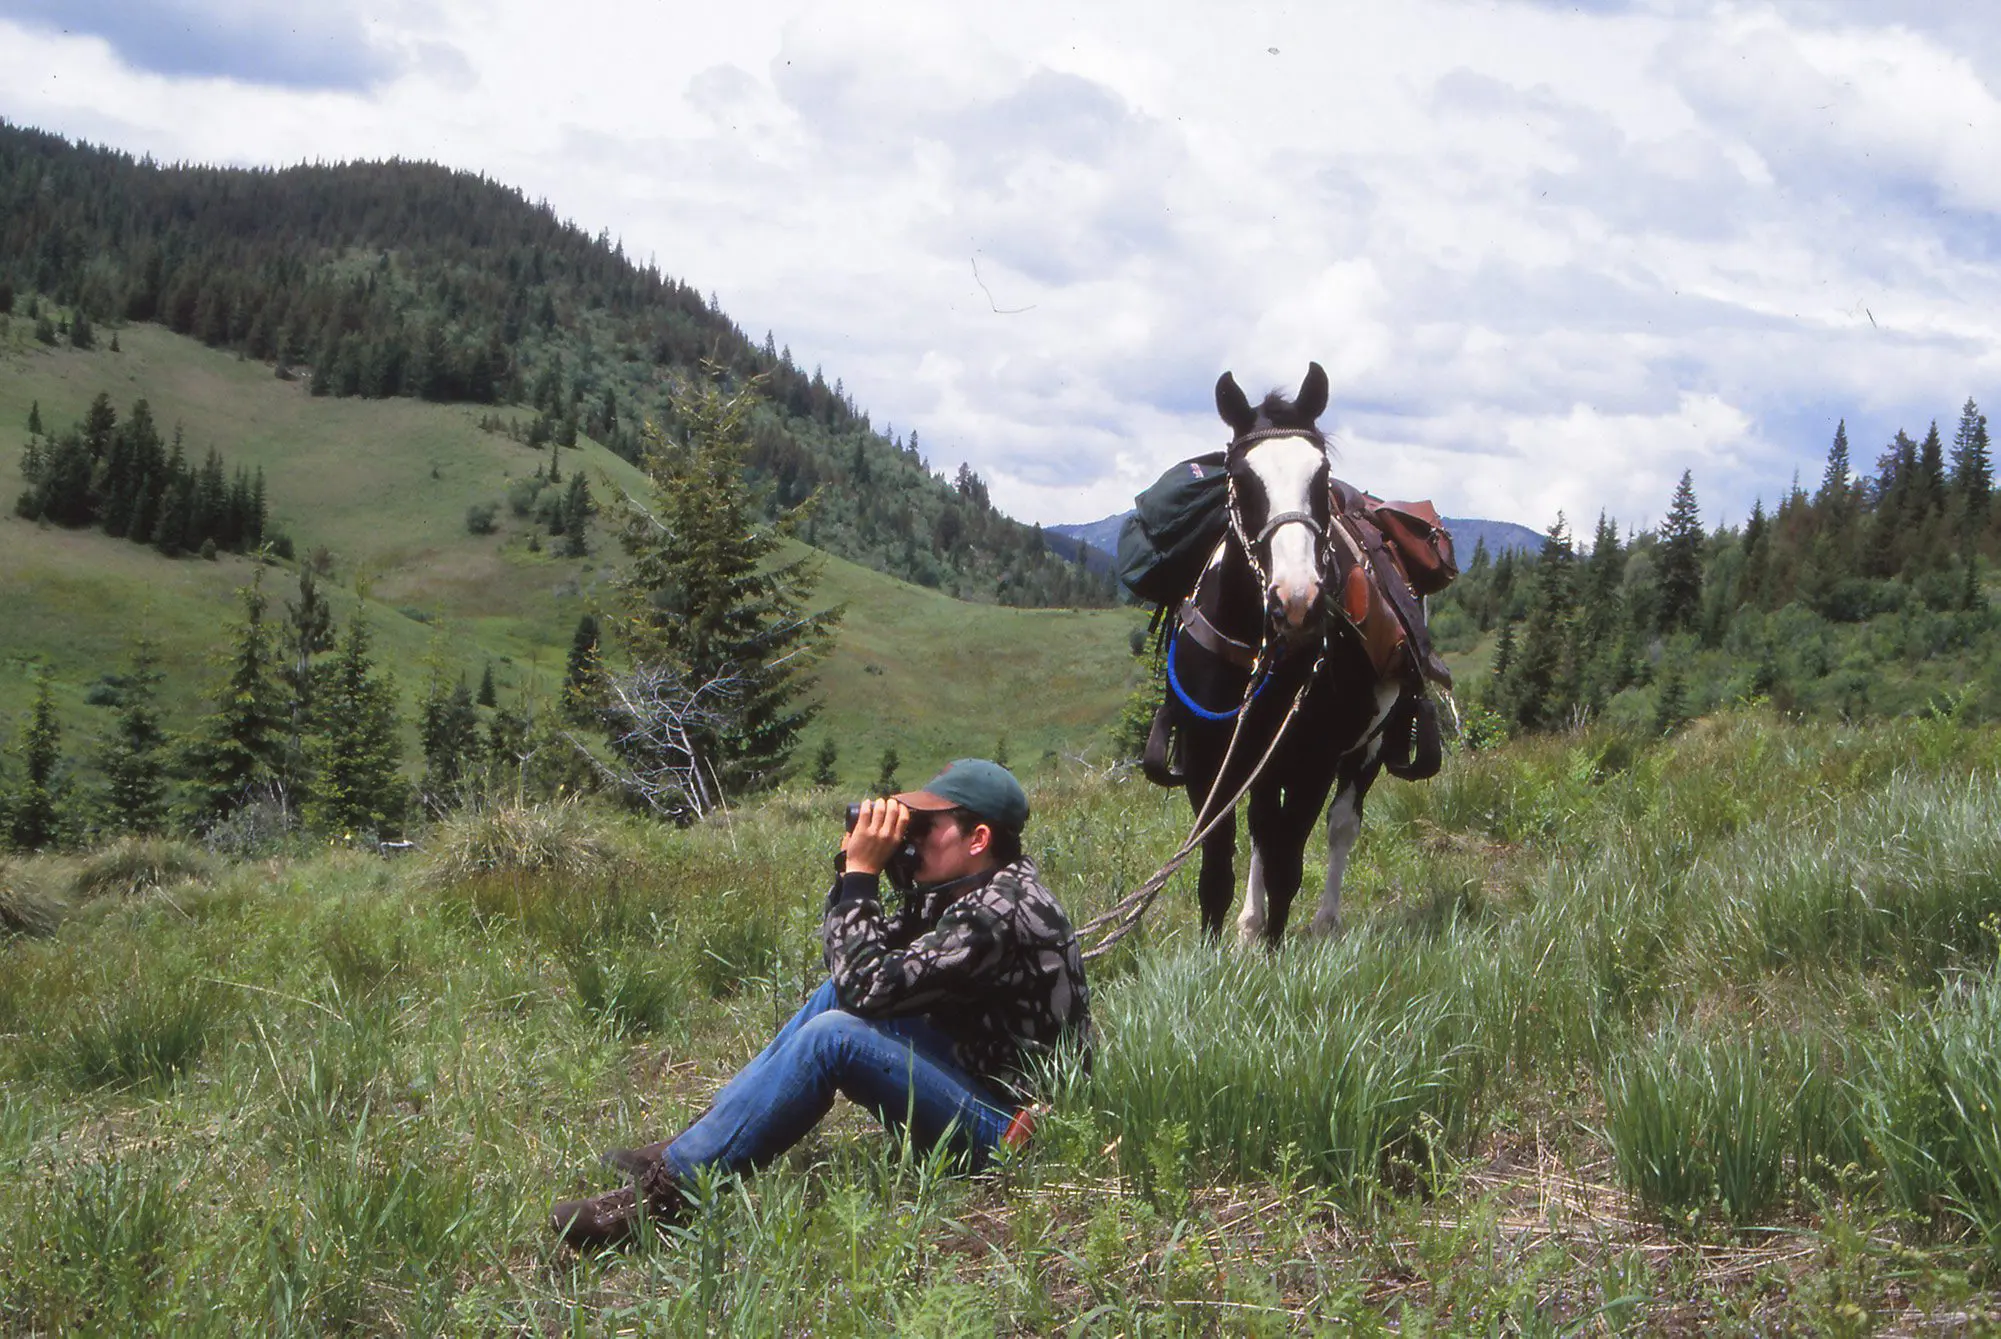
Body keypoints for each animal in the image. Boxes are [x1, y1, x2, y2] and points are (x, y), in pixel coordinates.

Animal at [1160, 360, 1408, 944]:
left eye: (1321, 476)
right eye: (1241, 478)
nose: (1297, 601)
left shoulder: (1313, 760)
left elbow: (1287, 864)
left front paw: (1275, 951)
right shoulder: (1208, 757)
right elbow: (1217, 865)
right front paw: (1213, 948)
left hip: (1367, 749)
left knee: (1340, 827)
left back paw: (1324, 921)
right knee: (1259, 828)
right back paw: (1249, 924)